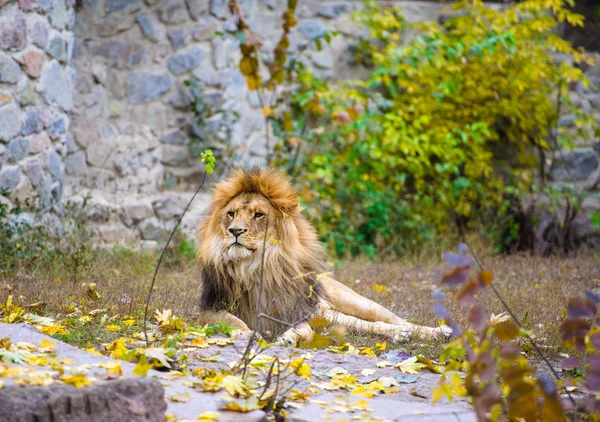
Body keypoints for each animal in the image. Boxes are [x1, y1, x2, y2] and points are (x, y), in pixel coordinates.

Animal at [197, 166, 450, 344]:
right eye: (231, 214)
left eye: (258, 215)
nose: (235, 231)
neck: (255, 266)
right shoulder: (207, 309)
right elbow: (233, 321)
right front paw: (248, 335)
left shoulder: (295, 311)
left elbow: (306, 331)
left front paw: (289, 337)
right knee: (364, 325)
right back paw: (403, 335)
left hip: (351, 301)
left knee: (390, 319)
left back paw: (433, 332)